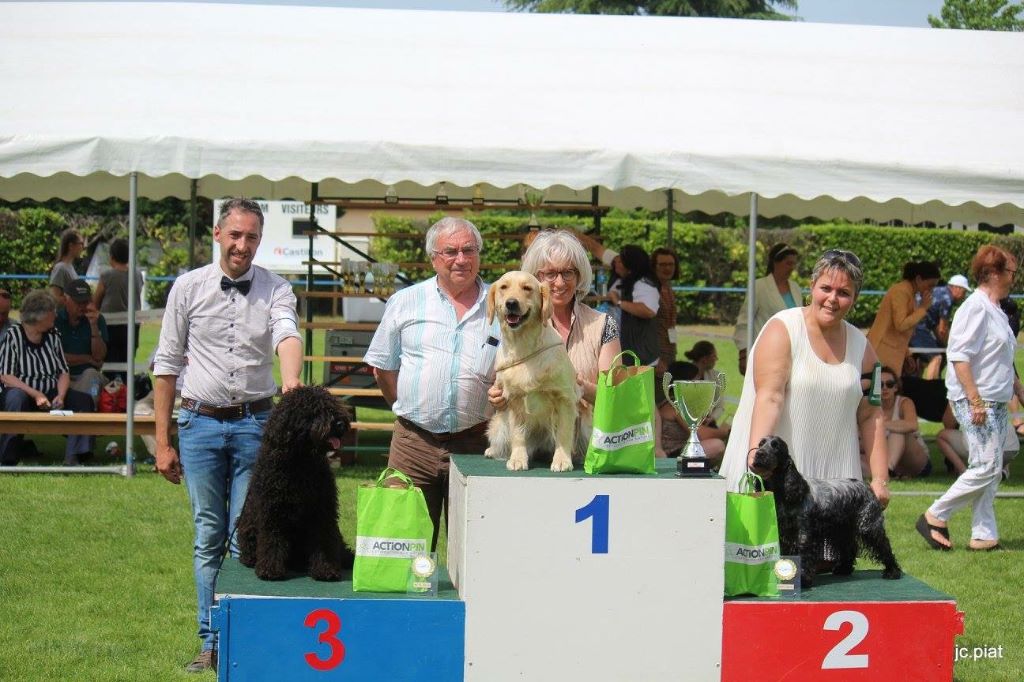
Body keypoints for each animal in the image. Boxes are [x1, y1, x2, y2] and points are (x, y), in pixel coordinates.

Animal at [236, 385, 356, 577]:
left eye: (332, 405)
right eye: (314, 411)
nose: (339, 424)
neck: (301, 463)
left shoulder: (322, 510)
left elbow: (323, 540)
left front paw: (326, 569)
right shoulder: (273, 511)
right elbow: (272, 540)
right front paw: (270, 569)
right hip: (246, 523)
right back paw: (250, 559)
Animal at [749, 436, 901, 585]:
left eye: (776, 446)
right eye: (761, 444)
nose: (759, 454)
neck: (783, 493)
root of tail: (866, 486)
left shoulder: (803, 533)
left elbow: (804, 555)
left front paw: (803, 579)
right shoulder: (784, 533)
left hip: (868, 526)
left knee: (884, 546)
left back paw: (892, 572)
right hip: (841, 531)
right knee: (849, 548)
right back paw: (843, 569)